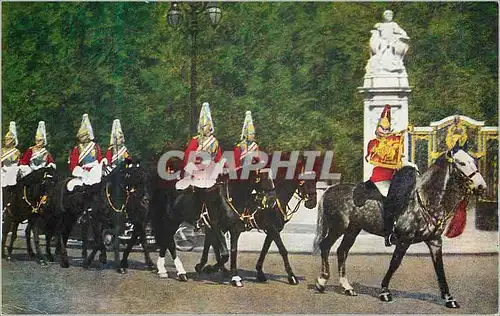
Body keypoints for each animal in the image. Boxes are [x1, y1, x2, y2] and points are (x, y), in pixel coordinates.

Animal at [314, 148, 486, 308]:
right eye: (461, 163)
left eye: (474, 161)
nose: (481, 186)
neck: (425, 199)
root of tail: (329, 190)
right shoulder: (404, 240)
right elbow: (394, 264)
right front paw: (384, 291)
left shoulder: (435, 241)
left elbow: (440, 268)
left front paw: (449, 298)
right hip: (338, 228)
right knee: (325, 246)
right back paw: (321, 282)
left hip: (352, 230)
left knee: (342, 251)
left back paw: (347, 287)